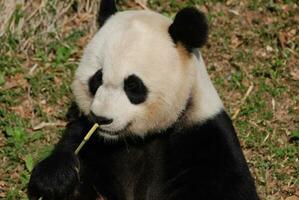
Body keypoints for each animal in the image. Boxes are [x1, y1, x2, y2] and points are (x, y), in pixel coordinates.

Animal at [28, 0, 260, 199]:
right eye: (97, 78)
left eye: (133, 86)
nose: (101, 119)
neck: (137, 140)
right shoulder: (90, 138)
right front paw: (58, 177)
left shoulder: (207, 137)